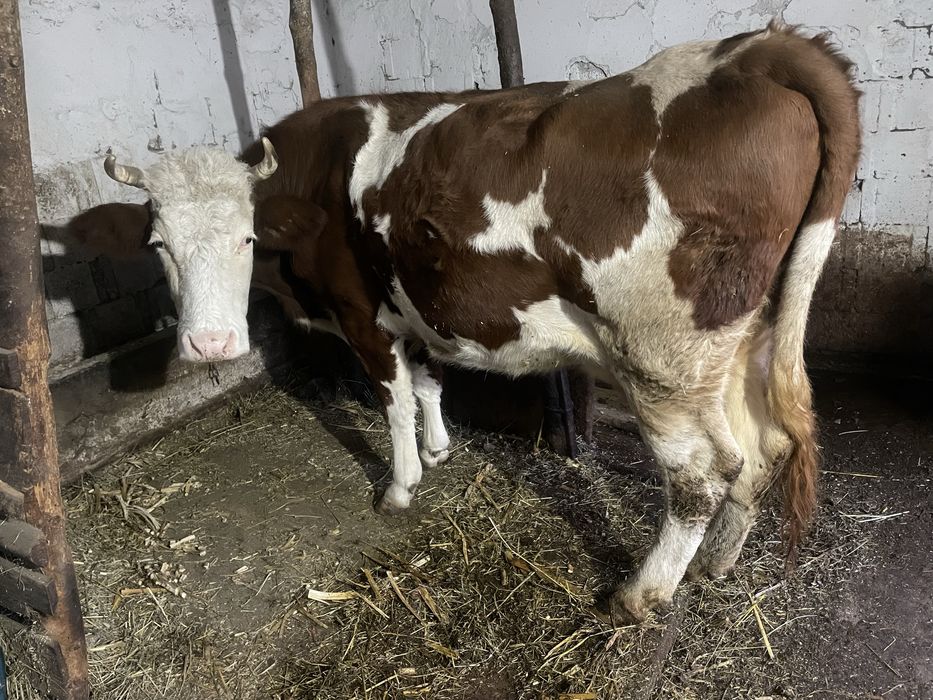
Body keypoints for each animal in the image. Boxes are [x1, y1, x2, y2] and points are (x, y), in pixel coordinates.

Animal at [74, 22, 860, 621]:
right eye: (159, 244)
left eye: (246, 238)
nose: (210, 344)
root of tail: (747, 49)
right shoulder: (413, 304)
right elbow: (427, 381)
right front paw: (440, 448)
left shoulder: (363, 314)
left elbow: (392, 400)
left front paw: (400, 484)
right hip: (737, 340)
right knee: (759, 449)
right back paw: (715, 563)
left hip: (658, 357)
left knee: (701, 474)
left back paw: (639, 596)